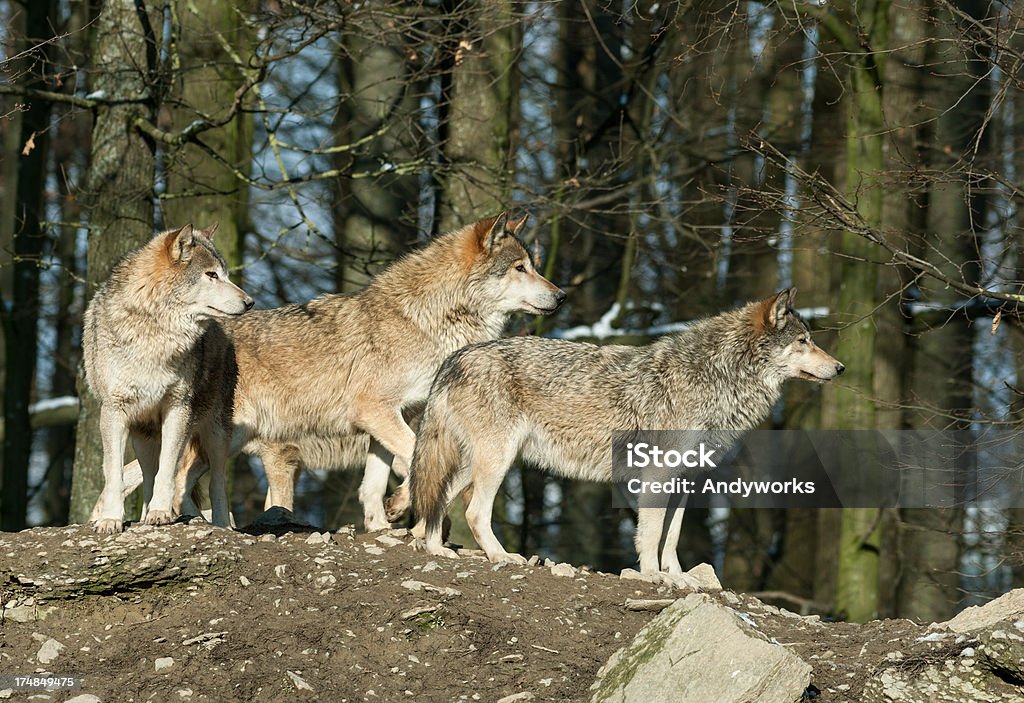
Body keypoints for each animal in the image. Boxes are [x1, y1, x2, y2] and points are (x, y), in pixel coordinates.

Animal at [87, 224, 256, 532]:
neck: (155, 334)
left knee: (217, 481)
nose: (250, 302)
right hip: (143, 435)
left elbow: (167, 470)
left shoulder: (178, 408)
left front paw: (160, 513)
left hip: (216, 434)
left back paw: (222, 525)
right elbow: (115, 473)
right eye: (211, 274)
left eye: (225, 273)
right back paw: (142, 515)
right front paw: (111, 519)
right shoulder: (114, 411)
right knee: (147, 474)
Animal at [168, 211, 569, 532]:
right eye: (520, 268)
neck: (428, 321)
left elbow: (374, 482)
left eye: (533, 265)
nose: (562, 295)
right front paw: (402, 503)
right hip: (224, 438)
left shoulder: (387, 419)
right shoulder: (374, 410)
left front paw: (381, 523)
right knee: (177, 475)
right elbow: (413, 456)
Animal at [397, 288, 839, 585]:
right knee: (472, 511)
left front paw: (679, 577)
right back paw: (501, 556)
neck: (718, 379)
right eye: (803, 342)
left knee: (434, 504)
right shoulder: (657, 475)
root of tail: (456, 357)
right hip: (496, 462)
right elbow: (651, 534)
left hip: (474, 463)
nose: (841, 368)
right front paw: (652, 576)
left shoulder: (687, 480)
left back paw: (436, 550)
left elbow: (672, 537)